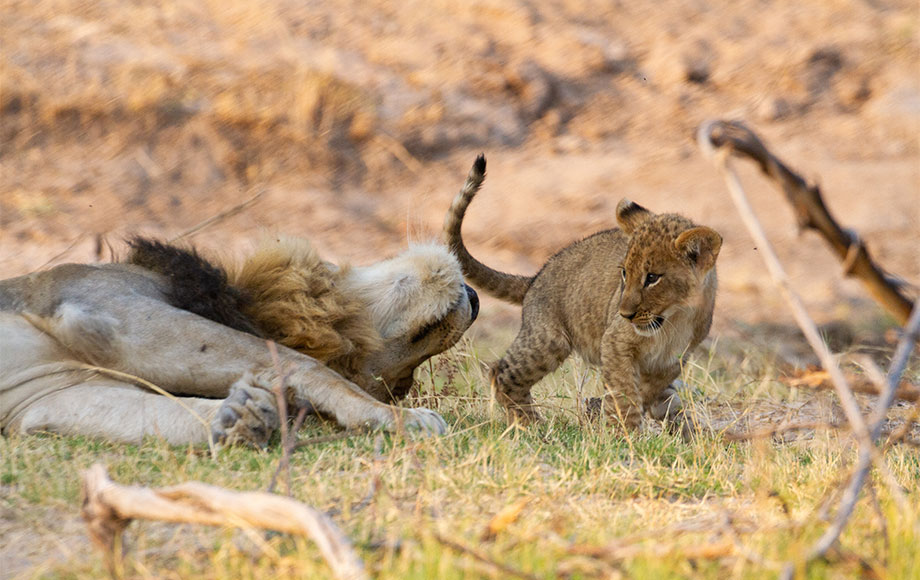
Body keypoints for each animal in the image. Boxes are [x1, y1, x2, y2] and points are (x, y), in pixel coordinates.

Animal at [1, 233, 482, 446]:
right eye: (398, 380)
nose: (476, 301)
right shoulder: (105, 308)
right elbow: (302, 362)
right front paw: (396, 417)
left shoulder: (46, 398)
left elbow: (156, 414)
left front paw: (239, 418)